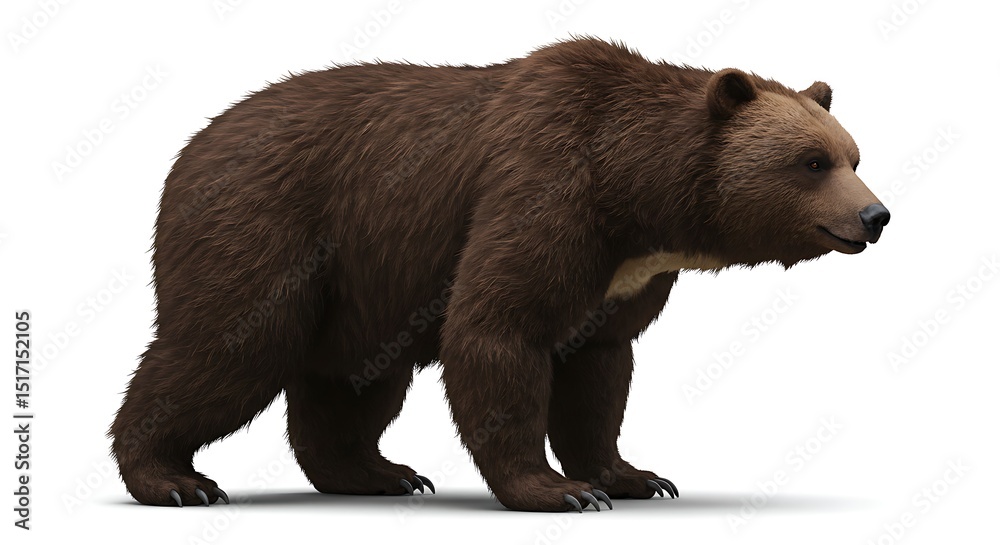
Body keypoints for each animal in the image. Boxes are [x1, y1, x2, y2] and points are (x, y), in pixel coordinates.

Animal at [109, 37, 889, 512]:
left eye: (853, 155)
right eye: (811, 162)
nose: (875, 215)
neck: (634, 193)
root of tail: (191, 146)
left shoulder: (620, 278)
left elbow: (599, 371)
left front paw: (633, 476)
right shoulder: (543, 186)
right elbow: (499, 330)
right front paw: (558, 489)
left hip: (363, 285)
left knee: (352, 381)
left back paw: (381, 474)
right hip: (266, 226)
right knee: (227, 348)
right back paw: (173, 478)